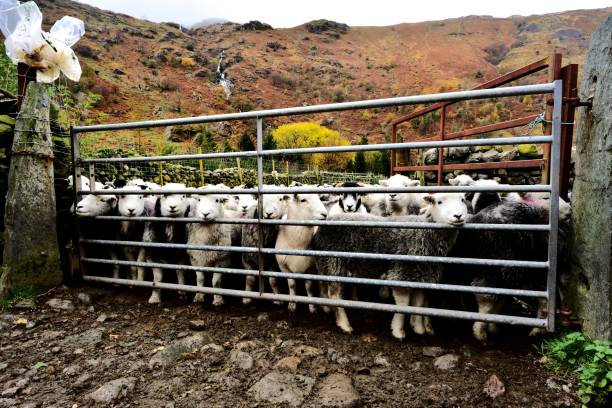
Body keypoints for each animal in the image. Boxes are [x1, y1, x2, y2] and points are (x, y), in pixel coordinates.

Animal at [314, 193, 466, 340]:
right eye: (439, 202)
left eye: (463, 200)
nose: (458, 216)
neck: (424, 233)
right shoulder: (401, 273)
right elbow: (403, 304)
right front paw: (398, 331)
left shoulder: (421, 275)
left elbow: (418, 303)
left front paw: (418, 328)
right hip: (334, 262)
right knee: (335, 295)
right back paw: (344, 324)